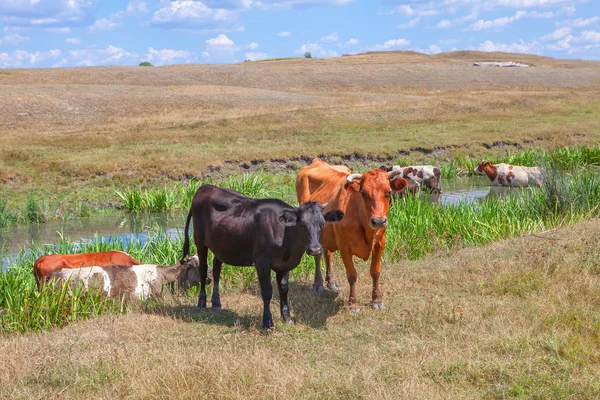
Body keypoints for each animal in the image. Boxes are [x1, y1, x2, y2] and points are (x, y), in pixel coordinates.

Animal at [180, 184, 344, 328]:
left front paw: (287, 317)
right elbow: (267, 292)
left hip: (221, 244)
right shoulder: (262, 262)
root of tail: (206, 187)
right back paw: (201, 304)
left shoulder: (284, 265)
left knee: (216, 269)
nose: (315, 249)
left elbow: (284, 288)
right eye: (302, 225)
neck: (286, 236)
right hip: (200, 240)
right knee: (202, 270)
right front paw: (267, 321)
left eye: (322, 224)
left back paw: (216, 303)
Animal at [296, 158, 408, 310]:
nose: (379, 221)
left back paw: (331, 282)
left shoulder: (380, 243)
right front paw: (353, 304)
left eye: (389, 192)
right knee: (317, 255)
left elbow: (375, 272)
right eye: (363, 193)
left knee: (327, 254)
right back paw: (318, 284)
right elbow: (352, 275)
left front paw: (376, 300)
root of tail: (317, 161)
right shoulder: (344, 247)